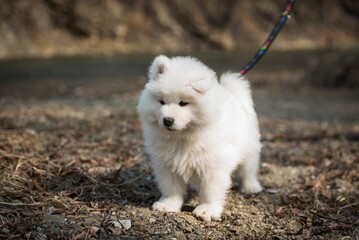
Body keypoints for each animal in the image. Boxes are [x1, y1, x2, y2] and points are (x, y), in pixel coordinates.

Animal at [137, 54, 262, 221]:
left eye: (183, 103)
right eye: (161, 102)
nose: (167, 120)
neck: (182, 136)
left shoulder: (213, 165)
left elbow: (210, 191)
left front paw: (207, 210)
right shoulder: (166, 163)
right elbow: (171, 187)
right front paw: (168, 205)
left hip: (250, 147)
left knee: (248, 169)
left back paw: (251, 187)